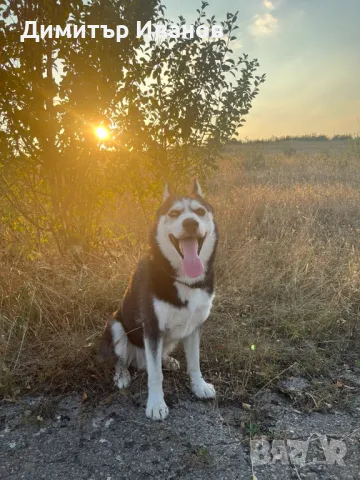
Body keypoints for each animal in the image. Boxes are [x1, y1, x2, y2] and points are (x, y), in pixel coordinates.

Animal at [97, 180, 217, 420]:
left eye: (200, 212)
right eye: (174, 213)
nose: (190, 223)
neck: (182, 279)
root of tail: (138, 360)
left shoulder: (194, 327)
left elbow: (195, 363)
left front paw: (199, 386)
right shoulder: (152, 328)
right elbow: (155, 375)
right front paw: (156, 404)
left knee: (158, 357)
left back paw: (168, 360)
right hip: (115, 326)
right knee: (121, 360)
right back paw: (122, 375)